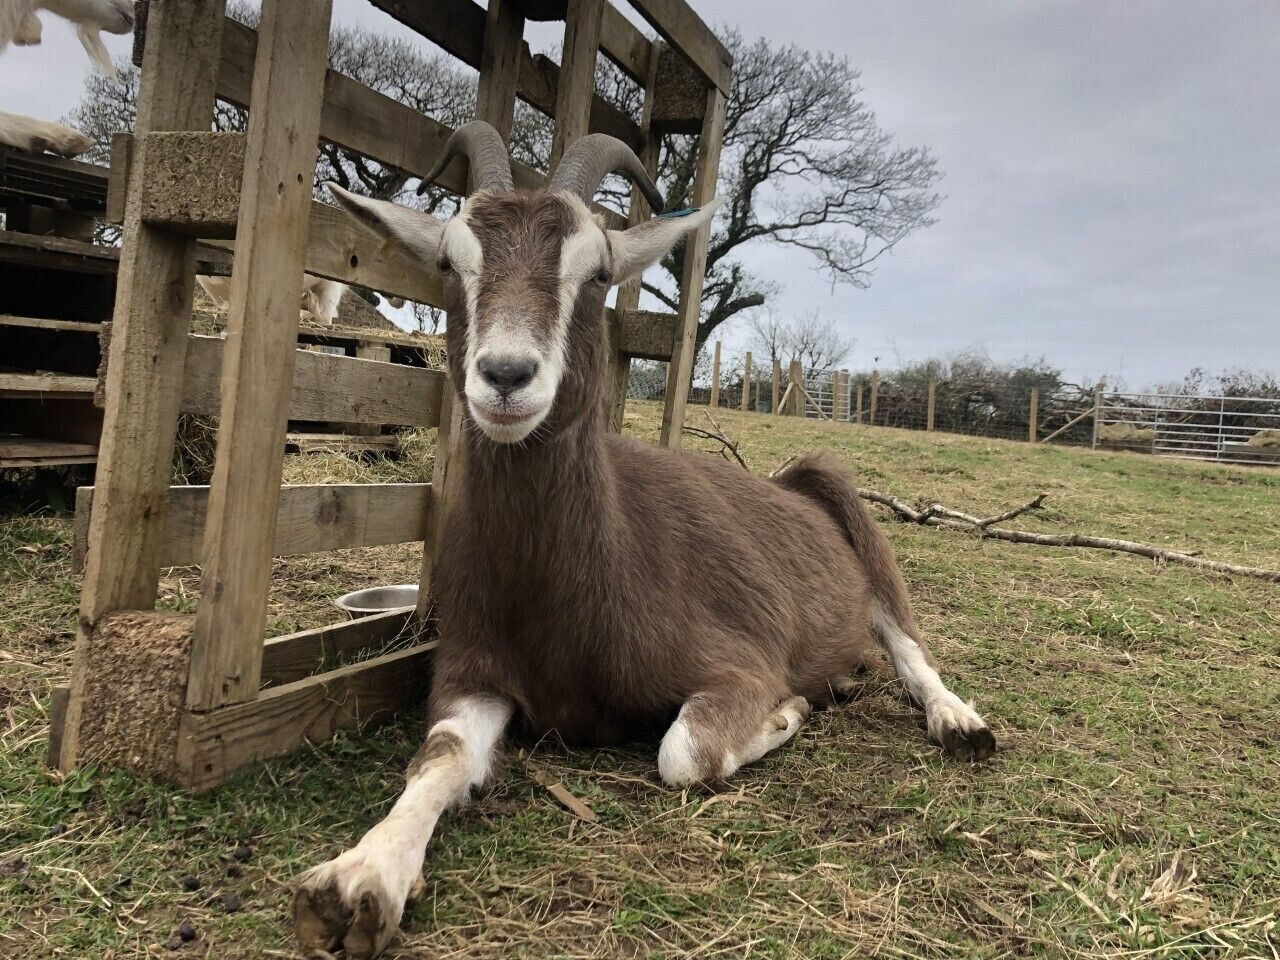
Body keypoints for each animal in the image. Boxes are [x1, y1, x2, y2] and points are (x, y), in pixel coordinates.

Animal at [293, 122, 996, 959]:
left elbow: (685, 754)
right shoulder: (474, 670)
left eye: (596, 270)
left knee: (907, 643)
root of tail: (790, 483)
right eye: (449, 262)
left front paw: (791, 711)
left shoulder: (739, 665)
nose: (506, 377)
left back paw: (957, 721)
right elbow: (443, 755)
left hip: (853, 515)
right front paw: (360, 879)